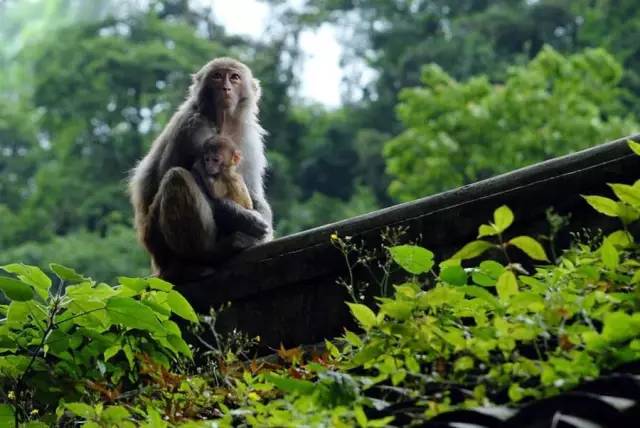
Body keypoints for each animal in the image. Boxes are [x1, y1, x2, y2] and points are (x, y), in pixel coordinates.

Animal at [129, 57, 272, 278]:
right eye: (217, 76)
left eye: (234, 77)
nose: (225, 88)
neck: (223, 122)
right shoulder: (193, 128)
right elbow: (200, 181)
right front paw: (247, 220)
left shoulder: (250, 140)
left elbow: (252, 191)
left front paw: (262, 224)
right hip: (158, 241)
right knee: (177, 177)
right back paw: (206, 256)